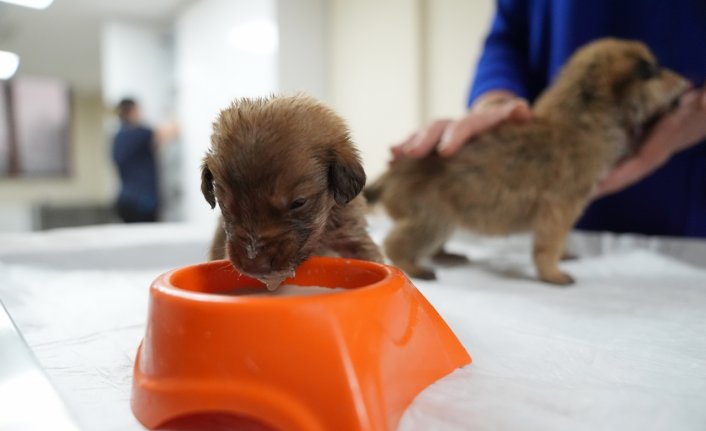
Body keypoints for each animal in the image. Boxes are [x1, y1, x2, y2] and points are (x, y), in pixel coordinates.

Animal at [364, 38, 688, 286]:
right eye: (655, 70)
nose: (687, 83)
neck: (585, 117)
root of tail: (388, 176)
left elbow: (558, 241)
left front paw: (564, 257)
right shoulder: (561, 207)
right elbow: (549, 244)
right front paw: (554, 273)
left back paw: (446, 255)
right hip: (433, 218)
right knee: (395, 243)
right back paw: (416, 269)